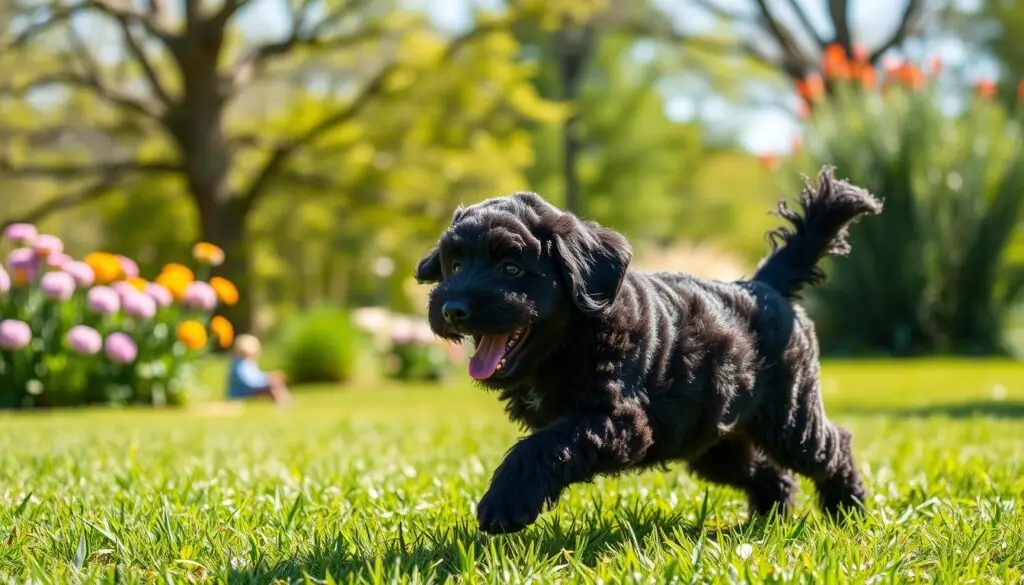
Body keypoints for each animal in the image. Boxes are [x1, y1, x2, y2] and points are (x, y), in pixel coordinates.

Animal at [413, 164, 880, 536]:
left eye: (510, 268)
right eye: (455, 265)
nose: (452, 309)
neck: (575, 337)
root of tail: (763, 285)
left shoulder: (624, 420)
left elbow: (545, 444)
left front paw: (506, 501)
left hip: (789, 414)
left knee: (832, 446)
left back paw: (848, 510)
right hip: (712, 438)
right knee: (764, 470)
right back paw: (769, 517)